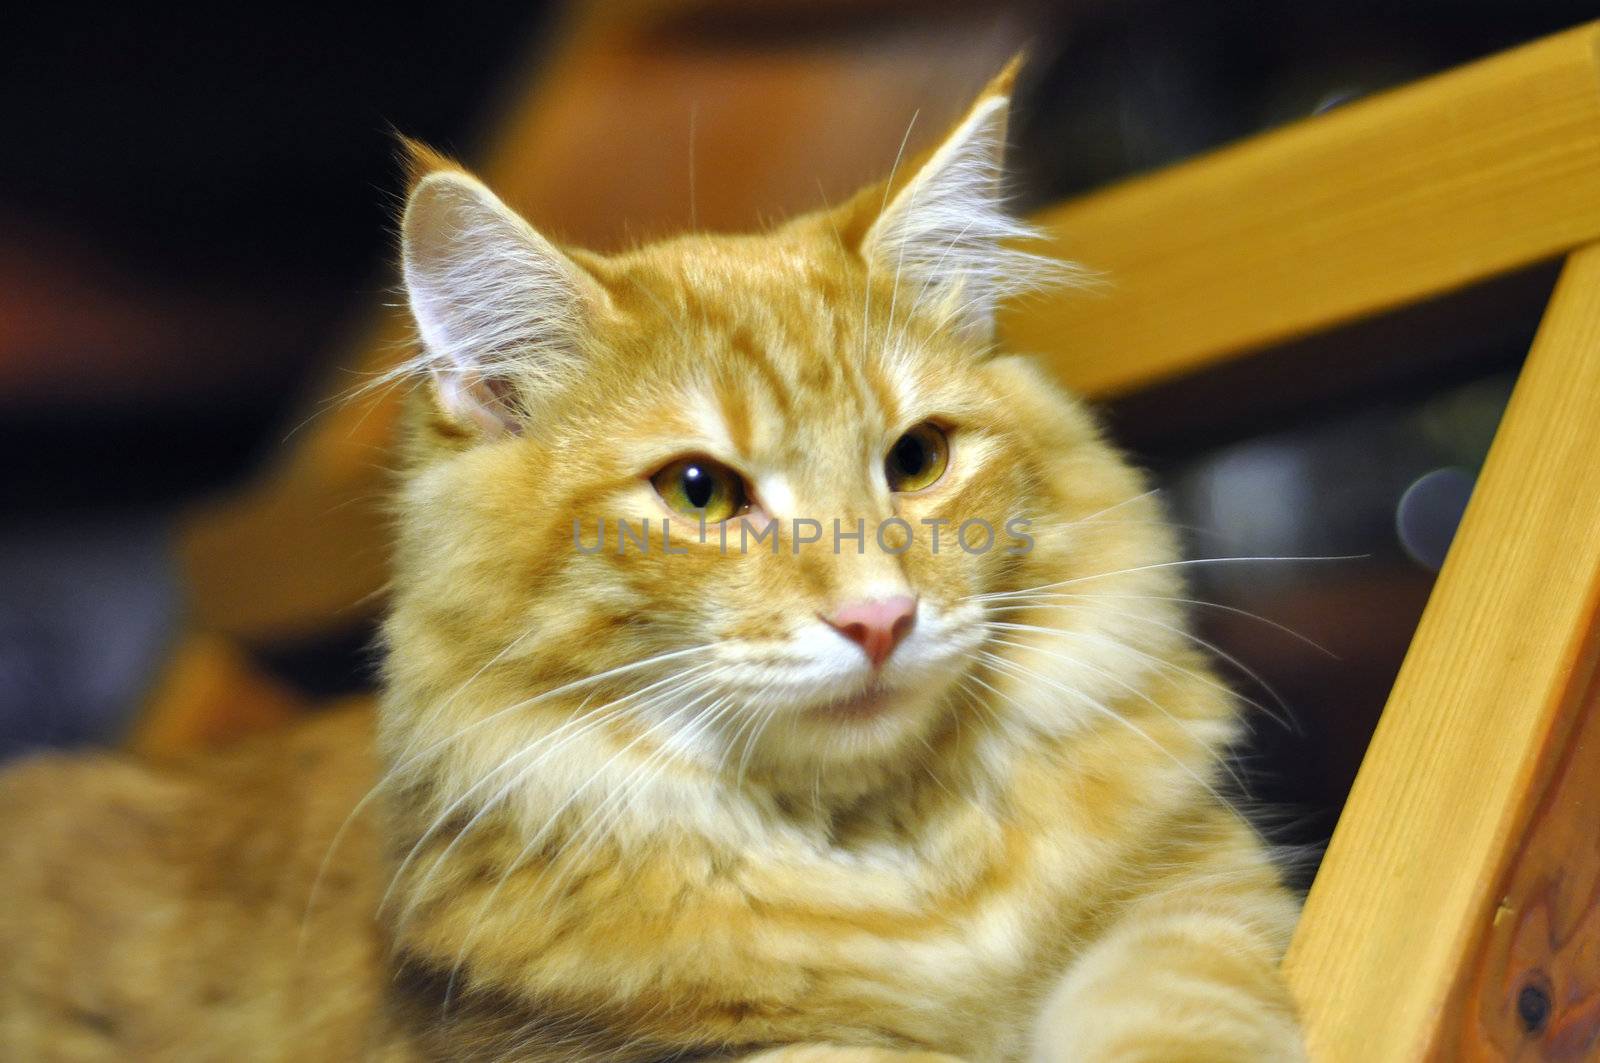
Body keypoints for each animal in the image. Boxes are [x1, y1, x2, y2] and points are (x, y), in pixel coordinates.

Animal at [0, 64, 1305, 1056]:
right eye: (698, 492)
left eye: (917, 459)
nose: (880, 618)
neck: (892, 867)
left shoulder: (1190, 902)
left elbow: (1179, 1019)